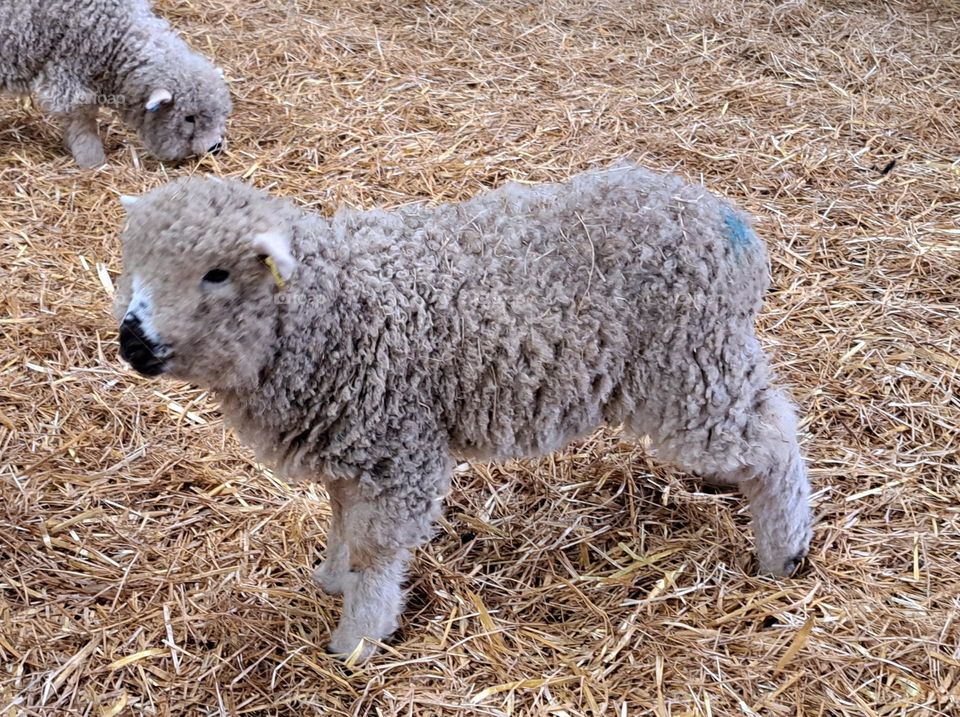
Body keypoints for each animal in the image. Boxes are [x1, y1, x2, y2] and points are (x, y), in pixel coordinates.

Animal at [113, 164, 813, 661]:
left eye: (217, 273)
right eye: (131, 263)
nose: (134, 341)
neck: (333, 307)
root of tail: (732, 226)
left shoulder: (398, 448)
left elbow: (375, 552)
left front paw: (358, 640)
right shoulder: (352, 449)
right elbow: (343, 527)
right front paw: (332, 579)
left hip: (689, 371)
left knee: (775, 439)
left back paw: (785, 553)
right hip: (703, 366)